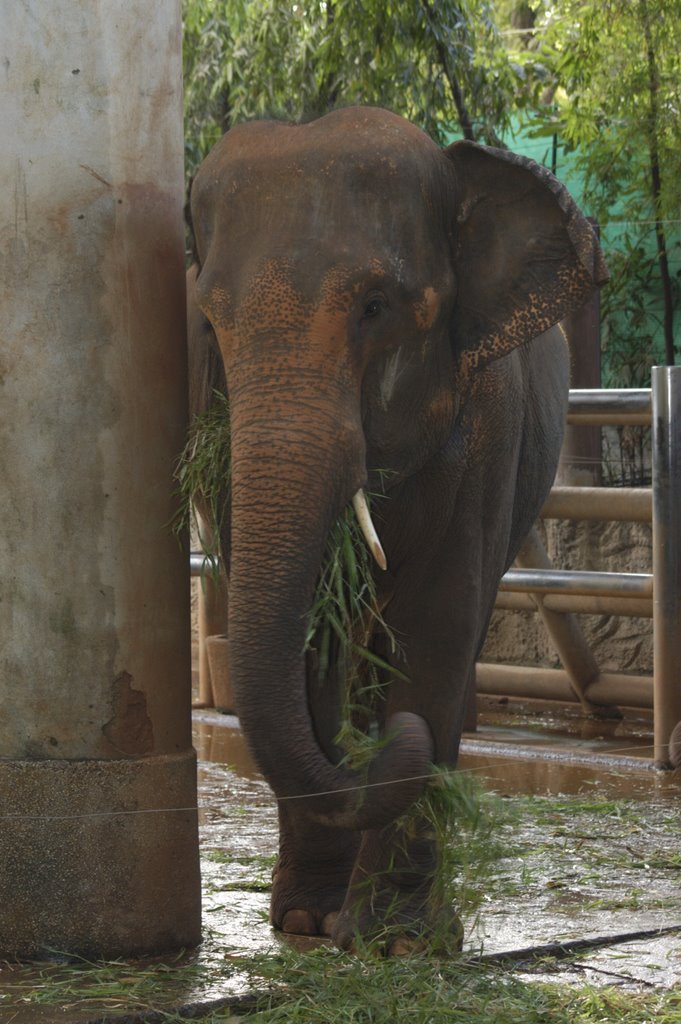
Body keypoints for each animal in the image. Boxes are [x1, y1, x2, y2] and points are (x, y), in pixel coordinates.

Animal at [186, 105, 606, 950]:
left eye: (374, 307)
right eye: (211, 325)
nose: (386, 748)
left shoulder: (486, 428)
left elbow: (436, 626)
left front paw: (397, 940)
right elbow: (307, 645)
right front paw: (309, 919)